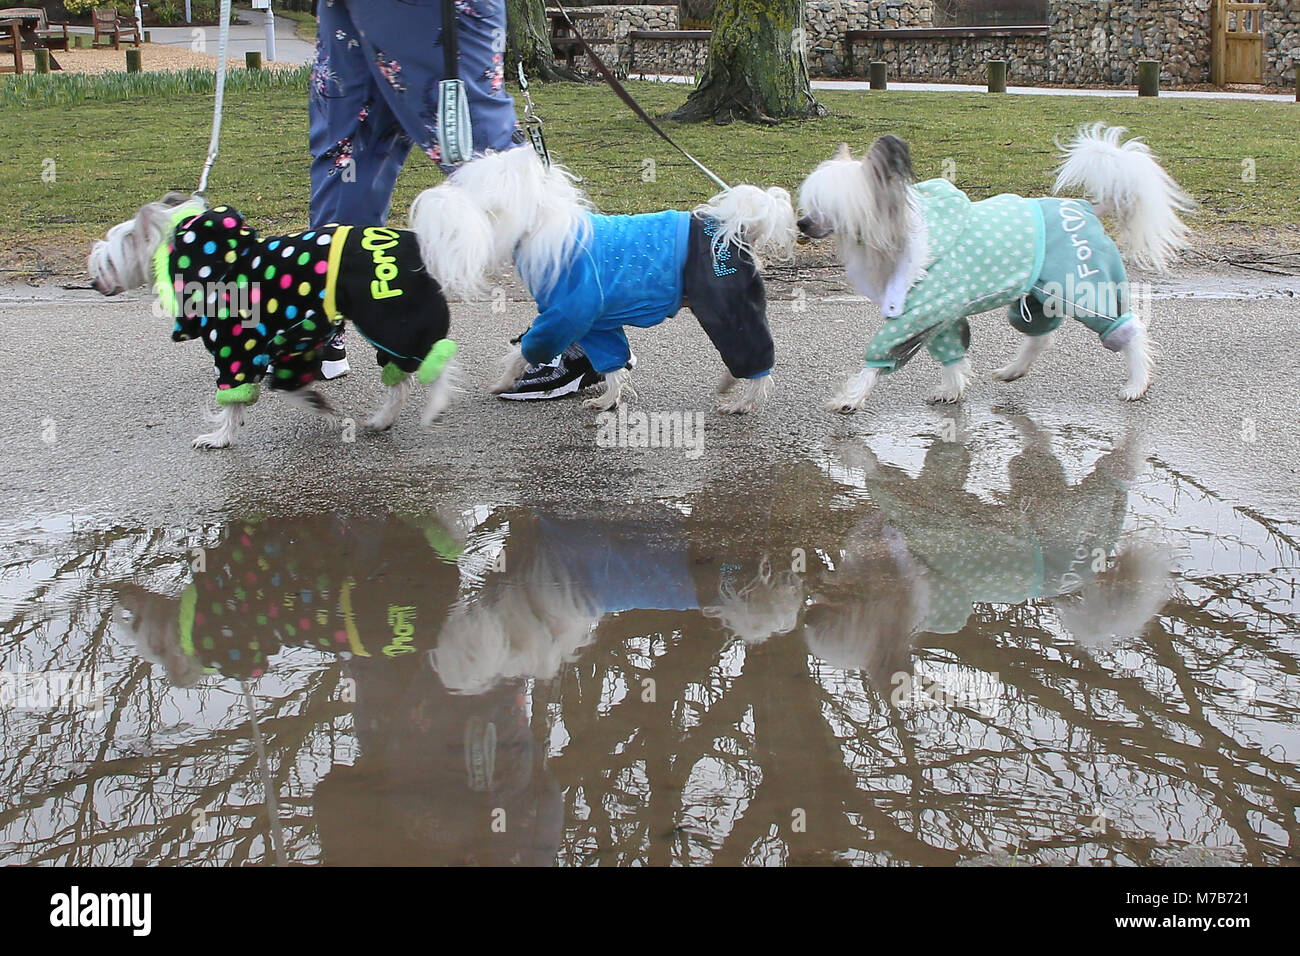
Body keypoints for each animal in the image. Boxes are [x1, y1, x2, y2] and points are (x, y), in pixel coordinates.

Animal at [795, 125, 1190, 413]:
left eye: (832, 206)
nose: (801, 223)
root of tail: (1089, 207)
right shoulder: (940, 313)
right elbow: (951, 354)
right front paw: (950, 389)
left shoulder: (919, 312)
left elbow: (879, 356)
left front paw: (850, 397)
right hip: (1038, 296)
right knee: (1040, 334)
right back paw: (1014, 370)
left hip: (1084, 286)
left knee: (1126, 330)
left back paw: (1137, 384)